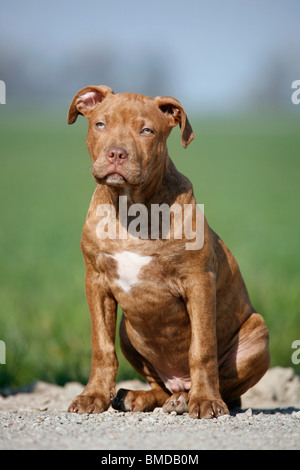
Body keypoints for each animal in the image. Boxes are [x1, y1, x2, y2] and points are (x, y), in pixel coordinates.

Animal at [67, 85, 270, 418]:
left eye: (147, 131)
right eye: (101, 124)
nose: (116, 153)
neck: (132, 208)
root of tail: (178, 382)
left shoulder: (199, 282)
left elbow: (202, 349)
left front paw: (206, 401)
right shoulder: (96, 282)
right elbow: (101, 346)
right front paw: (92, 396)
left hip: (257, 335)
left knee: (225, 388)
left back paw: (188, 398)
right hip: (128, 332)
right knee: (160, 386)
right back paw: (137, 397)